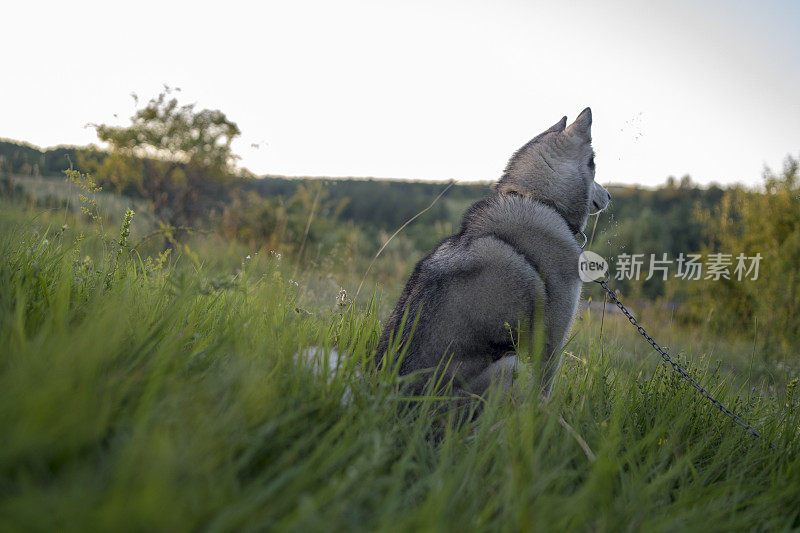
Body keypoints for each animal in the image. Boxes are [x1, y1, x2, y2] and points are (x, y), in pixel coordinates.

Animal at [378, 107, 608, 394]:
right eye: (595, 167)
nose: (610, 195)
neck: (538, 200)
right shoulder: (550, 340)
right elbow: (544, 392)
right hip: (511, 366)